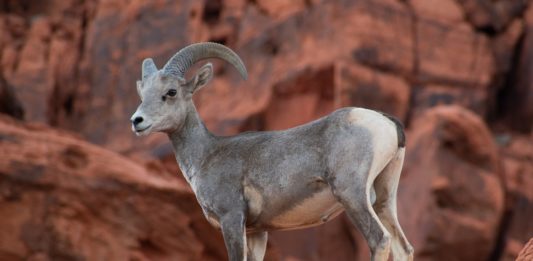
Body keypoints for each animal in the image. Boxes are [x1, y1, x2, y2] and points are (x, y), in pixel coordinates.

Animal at [131, 41, 414, 258]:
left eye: (171, 92)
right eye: (143, 94)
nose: (137, 121)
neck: (206, 156)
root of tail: (385, 122)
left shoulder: (231, 219)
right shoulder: (256, 232)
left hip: (352, 194)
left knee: (380, 240)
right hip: (384, 199)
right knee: (403, 248)